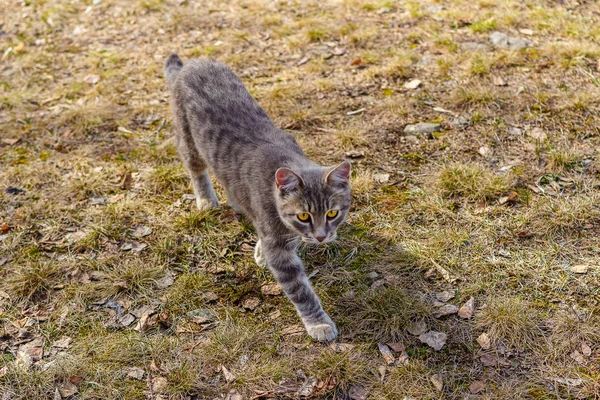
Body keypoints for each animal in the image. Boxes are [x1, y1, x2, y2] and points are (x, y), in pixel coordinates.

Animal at [164, 53, 352, 340]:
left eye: (332, 213)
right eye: (303, 216)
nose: (322, 237)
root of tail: (193, 63)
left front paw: (261, 252)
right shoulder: (280, 250)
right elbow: (300, 289)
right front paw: (318, 323)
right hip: (188, 138)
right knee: (195, 168)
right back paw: (206, 200)